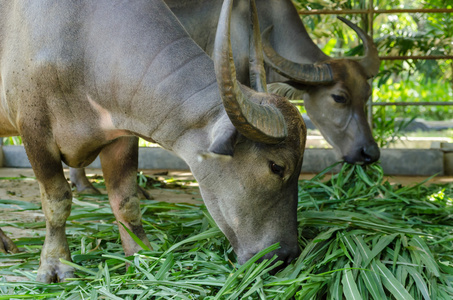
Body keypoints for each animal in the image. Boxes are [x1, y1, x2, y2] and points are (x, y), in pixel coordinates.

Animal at [0, 0, 308, 282]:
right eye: (277, 167)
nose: (286, 255)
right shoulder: (35, 131)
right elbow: (57, 202)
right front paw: (56, 264)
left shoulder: (121, 137)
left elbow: (127, 202)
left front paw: (142, 256)